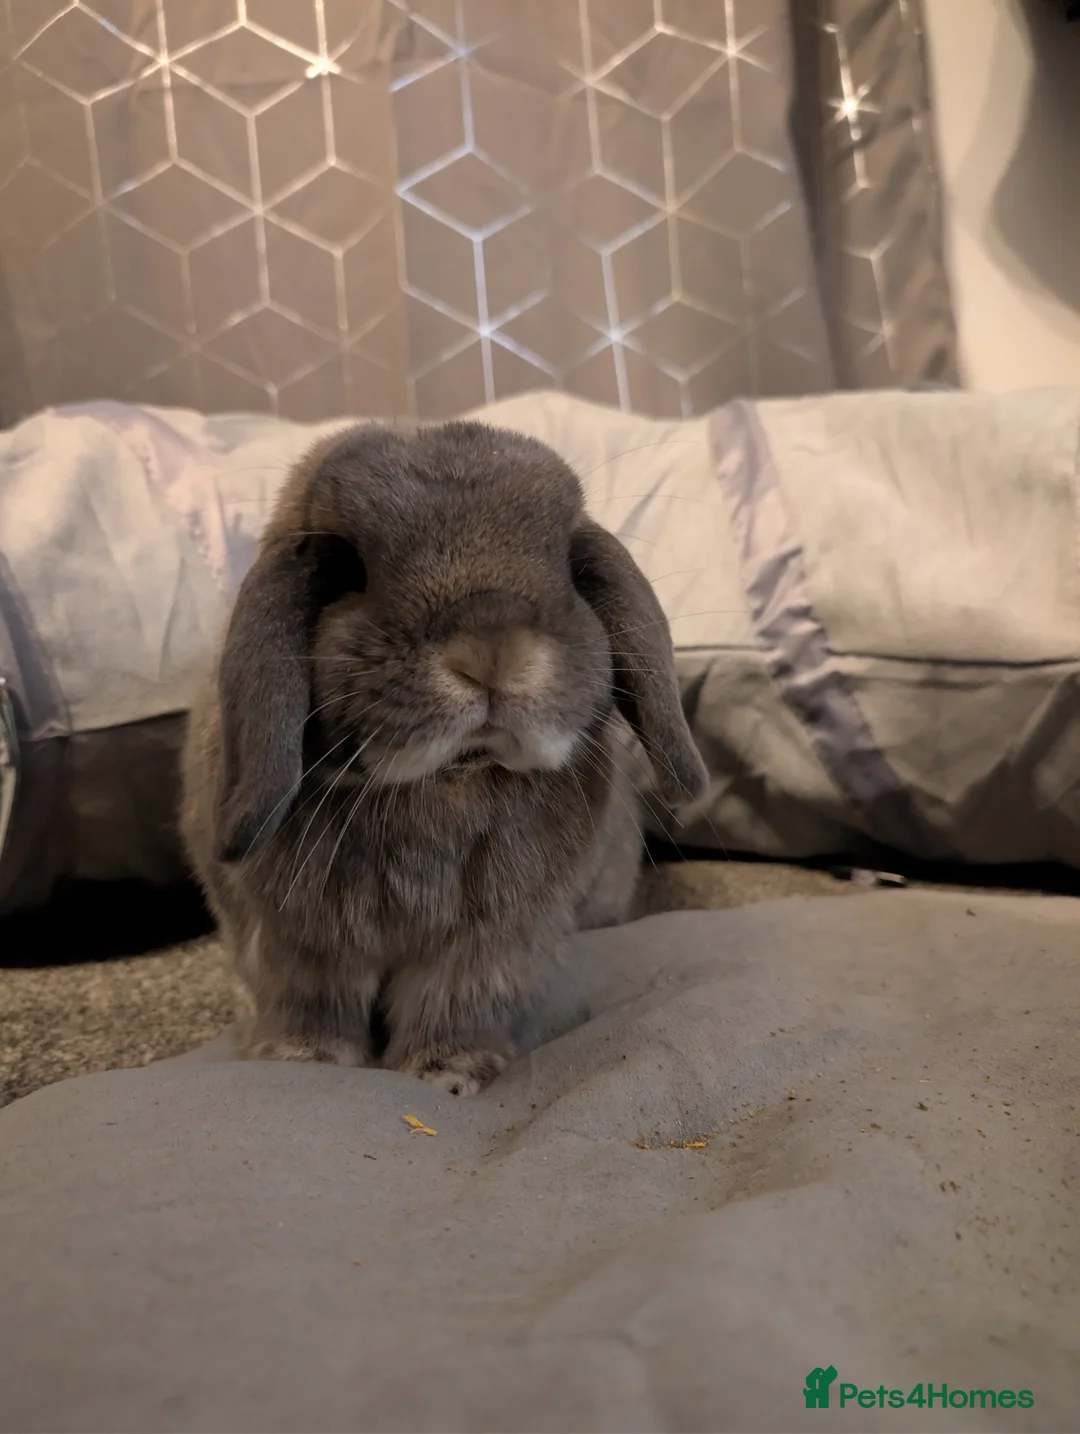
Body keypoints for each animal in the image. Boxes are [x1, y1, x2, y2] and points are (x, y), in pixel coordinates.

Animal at [181, 419, 707, 1095]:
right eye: (345, 566)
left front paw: (449, 1074)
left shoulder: (492, 947)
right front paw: (301, 1059)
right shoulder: (298, 945)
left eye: (568, 563)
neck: (447, 783)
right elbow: (314, 1003)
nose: (491, 648)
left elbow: (454, 1003)